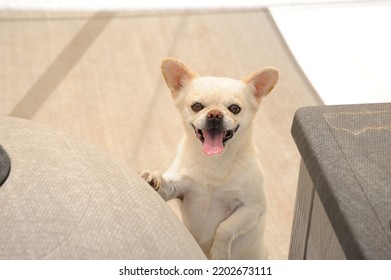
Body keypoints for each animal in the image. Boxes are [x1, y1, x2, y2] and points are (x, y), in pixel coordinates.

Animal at [139, 58, 280, 260]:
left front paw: (219, 253)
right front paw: (153, 177)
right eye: (196, 106)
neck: (214, 161)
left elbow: (226, 228)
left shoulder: (252, 208)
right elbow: (166, 185)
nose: (215, 114)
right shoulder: (178, 189)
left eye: (235, 109)